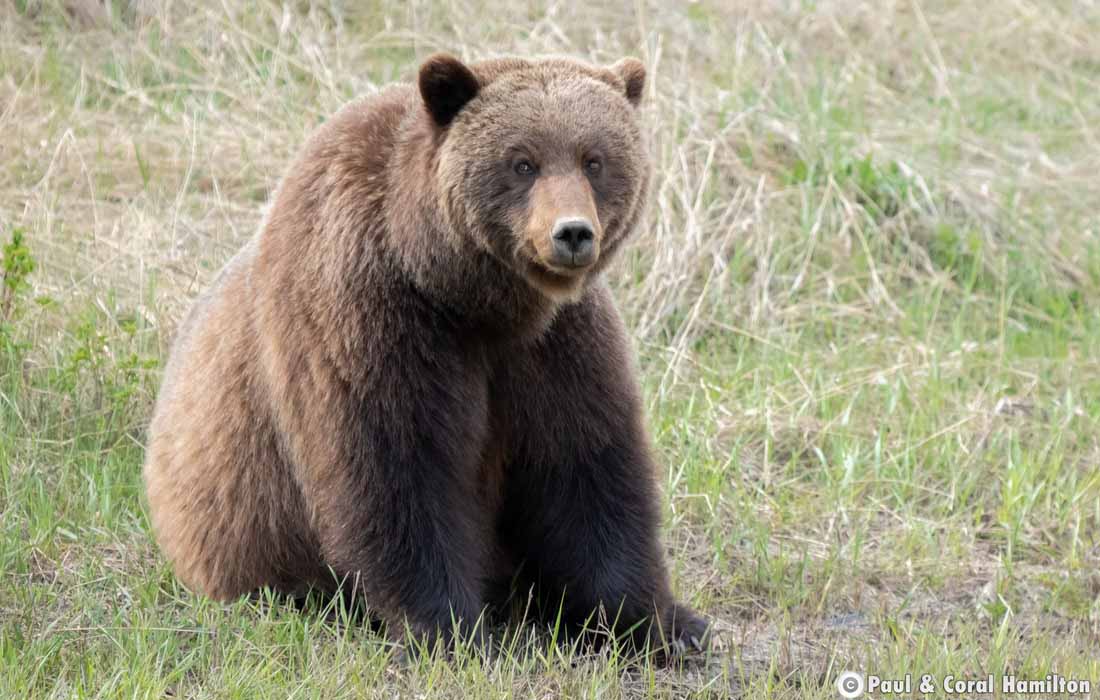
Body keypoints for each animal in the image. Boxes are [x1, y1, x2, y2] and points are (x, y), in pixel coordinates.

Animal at [141, 53, 708, 655]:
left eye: (594, 159)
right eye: (522, 162)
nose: (572, 233)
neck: (468, 298)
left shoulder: (554, 345)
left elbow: (585, 469)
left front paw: (664, 625)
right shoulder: (371, 318)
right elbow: (399, 474)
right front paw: (454, 631)